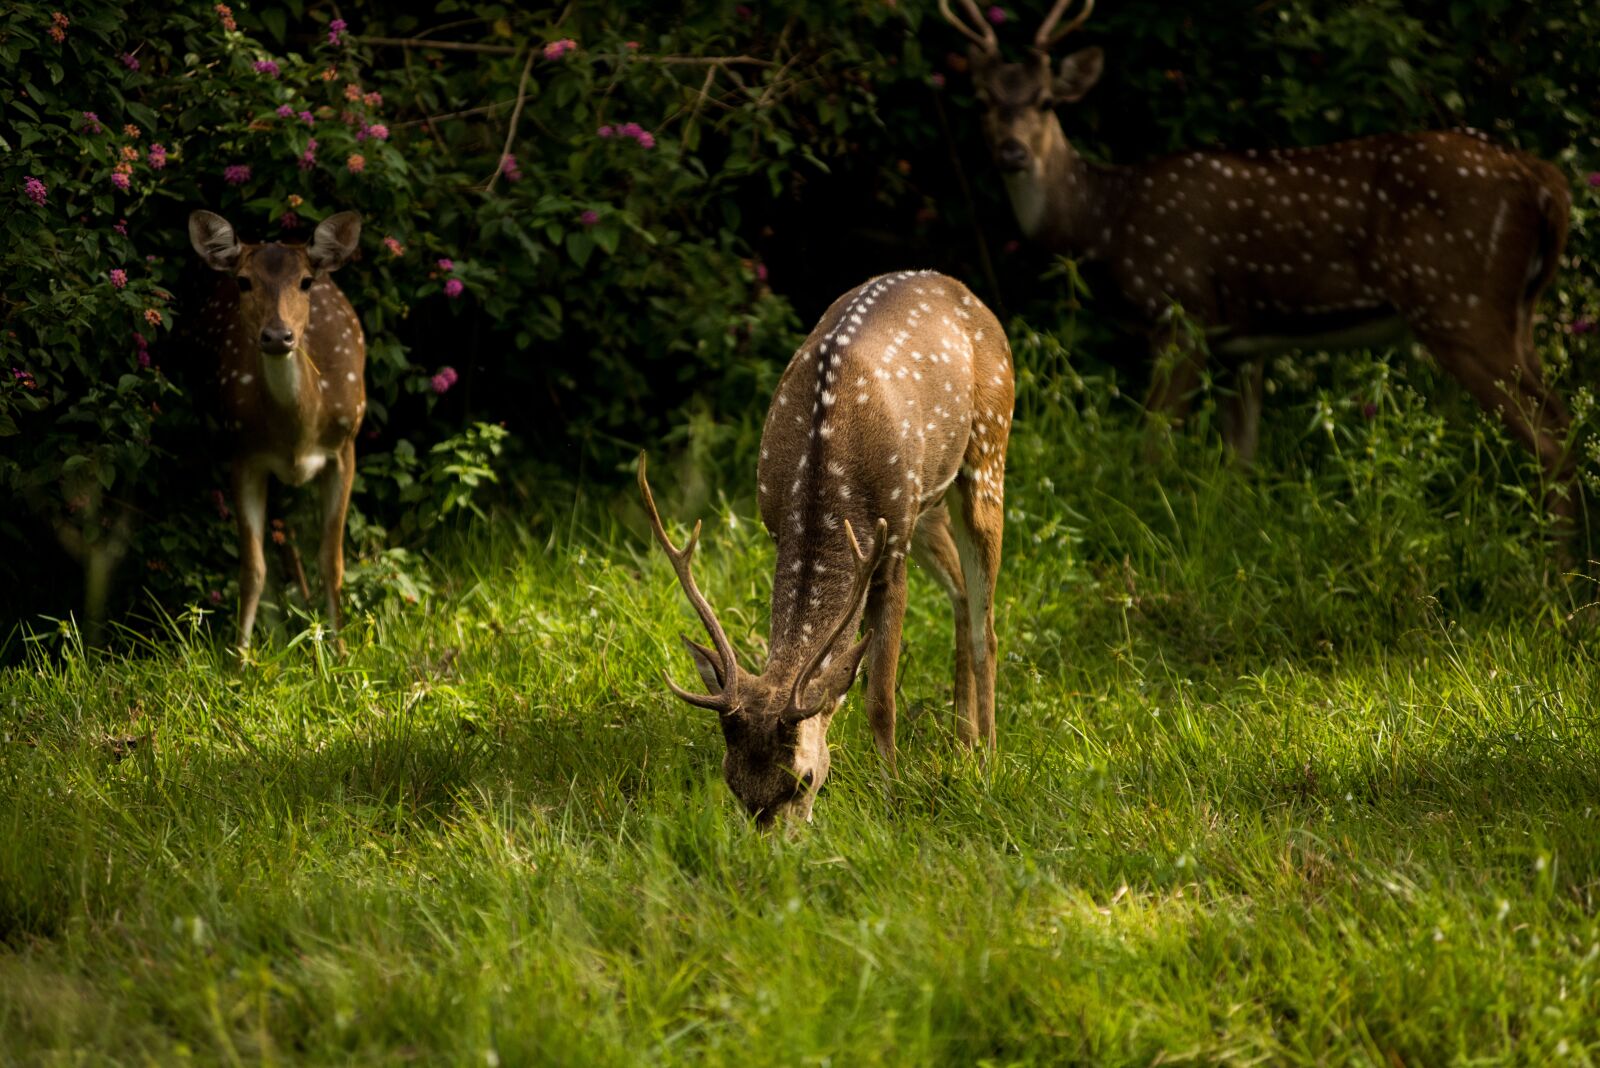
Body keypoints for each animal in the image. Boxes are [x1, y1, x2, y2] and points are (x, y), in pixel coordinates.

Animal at [187, 209, 366, 651]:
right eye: (243, 280)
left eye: (305, 281)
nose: (277, 335)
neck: (298, 433)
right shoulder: (242, 453)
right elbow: (252, 569)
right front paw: (240, 658)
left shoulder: (345, 446)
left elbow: (333, 561)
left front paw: (340, 652)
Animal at [638, 270, 1015, 829]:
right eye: (732, 782)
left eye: (805, 779)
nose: (770, 840)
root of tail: (958, 287)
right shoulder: (778, 525)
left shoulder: (890, 550)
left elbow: (879, 696)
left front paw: (890, 795)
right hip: (929, 505)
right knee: (963, 596)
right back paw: (962, 742)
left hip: (988, 449)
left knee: (984, 627)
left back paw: (987, 760)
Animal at [940, 0, 1576, 523]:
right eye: (985, 101)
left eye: (1046, 101)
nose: (1013, 152)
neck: (1106, 221)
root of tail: (1544, 180)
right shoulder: (1238, 347)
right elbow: (1240, 465)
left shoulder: (1182, 313)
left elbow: (1152, 446)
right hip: (1517, 311)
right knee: (1565, 420)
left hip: (1459, 304)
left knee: (1551, 439)